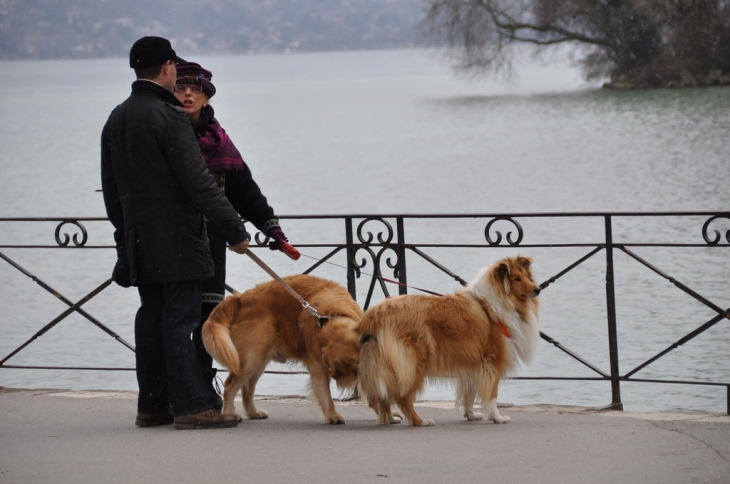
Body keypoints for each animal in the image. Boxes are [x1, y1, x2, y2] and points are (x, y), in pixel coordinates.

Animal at [202, 274, 362, 426]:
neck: (331, 316)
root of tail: (240, 298)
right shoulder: (317, 366)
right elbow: (326, 395)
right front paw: (333, 416)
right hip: (250, 360)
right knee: (230, 386)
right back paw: (230, 413)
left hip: (258, 361)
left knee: (247, 387)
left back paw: (253, 412)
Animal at [356, 255, 536, 426]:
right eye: (516, 279)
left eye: (526, 276)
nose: (538, 289)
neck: (491, 304)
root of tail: (373, 315)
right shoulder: (491, 362)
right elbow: (491, 395)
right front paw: (497, 418)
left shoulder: (473, 364)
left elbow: (469, 393)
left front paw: (471, 415)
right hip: (412, 364)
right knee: (403, 397)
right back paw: (420, 422)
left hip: (386, 365)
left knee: (385, 394)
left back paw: (391, 419)